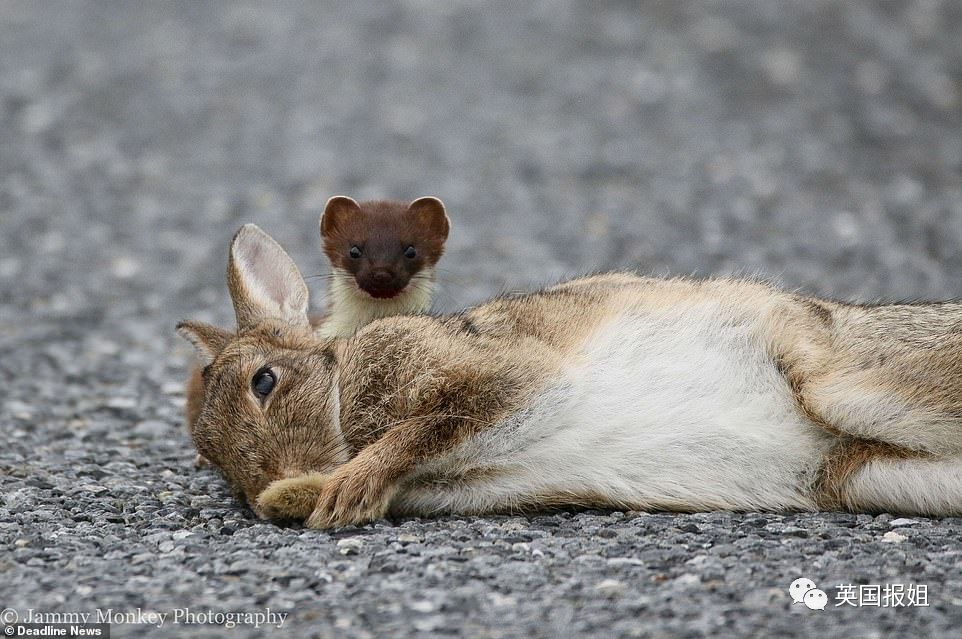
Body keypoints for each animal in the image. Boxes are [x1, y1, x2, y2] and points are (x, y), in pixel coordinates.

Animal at [176, 222, 960, 528]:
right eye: (209, 457)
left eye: (266, 382)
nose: (264, 492)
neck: (339, 382)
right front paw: (301, 496)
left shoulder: (497, 375)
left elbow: (431, 423)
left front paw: (341, 489)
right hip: (863, 474)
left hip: (840, 383)